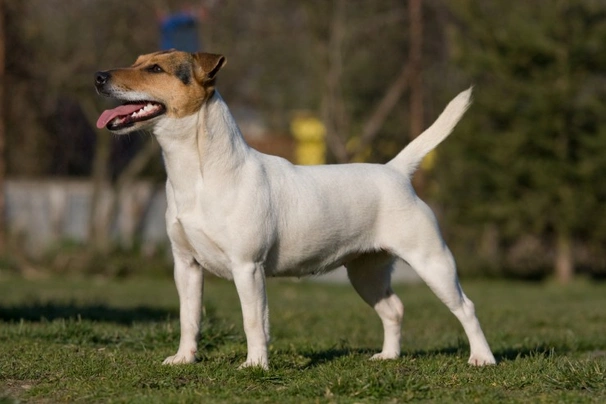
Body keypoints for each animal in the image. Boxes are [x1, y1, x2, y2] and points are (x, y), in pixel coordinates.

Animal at [92, 49, 496, 370]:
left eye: (155, 69)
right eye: (138, 61)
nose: (98, 76)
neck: (199, 176)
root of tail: (395, 171)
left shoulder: (247, 267)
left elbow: (254, 321)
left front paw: (255, 365)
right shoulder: (186, 265)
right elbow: (188, 317)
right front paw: (184, 359)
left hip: (433, 262)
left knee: (467, 307)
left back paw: (482, 358)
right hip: (365, 272)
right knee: (393, 309)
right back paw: (388, 356)